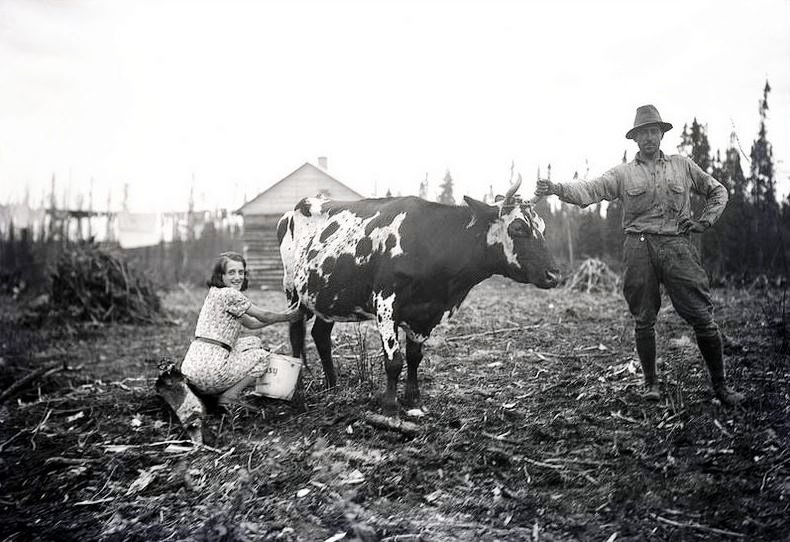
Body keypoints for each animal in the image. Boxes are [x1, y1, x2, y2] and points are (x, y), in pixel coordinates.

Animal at [276, 176, 560, 418]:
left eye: (544, 228)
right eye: (518, 227)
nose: (553, 274)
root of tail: (297, 207)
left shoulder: (427, 313)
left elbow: (414, 357)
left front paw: (413, 399)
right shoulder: (386, 304)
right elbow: (394, 360)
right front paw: (390, 406)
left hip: (329, 296)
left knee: (320, 336)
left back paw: (333, 386)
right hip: (293, 292)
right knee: (296, 336)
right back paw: (298, 391)